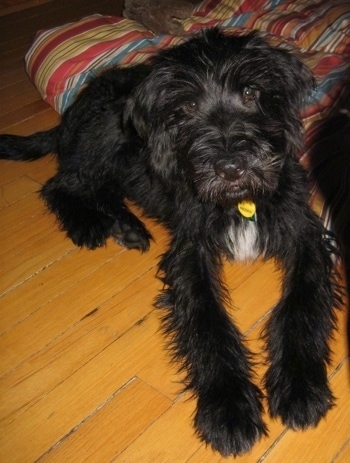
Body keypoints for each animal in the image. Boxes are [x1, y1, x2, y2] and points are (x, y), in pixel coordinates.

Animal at [0, 30, 342, 458]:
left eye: (252, 93)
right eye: (189, 106)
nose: (231, 168)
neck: (237, 202)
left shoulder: (305, 237)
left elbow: (301, 306)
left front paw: (299, 386)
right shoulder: (190, 253)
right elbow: (207, 321)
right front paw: (228, 408)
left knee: (100, 187)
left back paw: (126, 226)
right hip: (105, 135)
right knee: (62, 184)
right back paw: (90, 223)